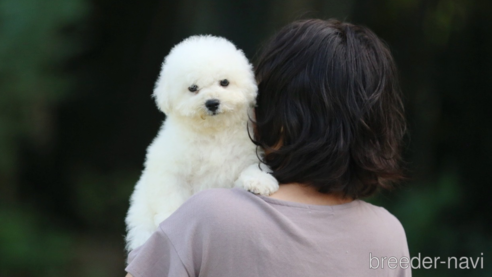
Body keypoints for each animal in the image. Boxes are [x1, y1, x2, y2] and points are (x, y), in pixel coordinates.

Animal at [127, 34, 278, 250]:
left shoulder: (249, 151)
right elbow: (170, 193)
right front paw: (170, 218)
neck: (213, 132)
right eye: (193, 88)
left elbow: (252, 166)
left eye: (224, 82)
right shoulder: (169, 166)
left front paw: (259, 181)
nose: (212, 103)